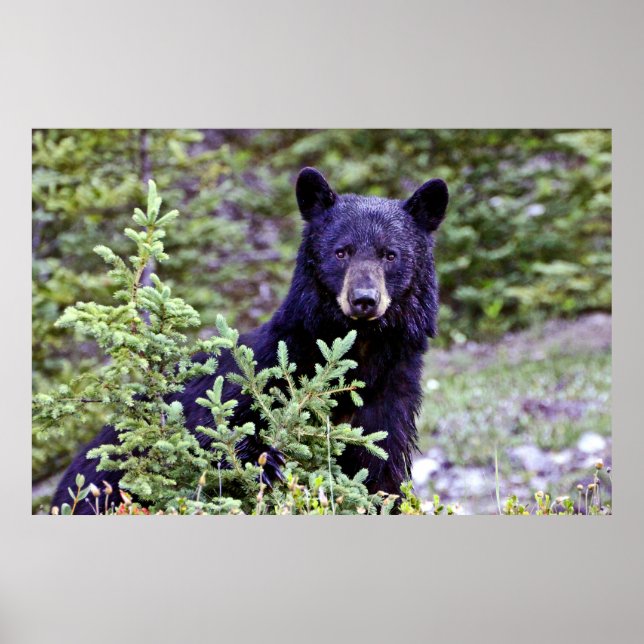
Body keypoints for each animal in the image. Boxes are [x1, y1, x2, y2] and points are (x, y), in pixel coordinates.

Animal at [50, 167, 448, 513]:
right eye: (341, 251)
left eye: (390, 254)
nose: (364, 299)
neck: (357, 355)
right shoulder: (263, 367)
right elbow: (210, 425)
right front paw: (265, 461)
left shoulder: (391, 397)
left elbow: (380, 472)